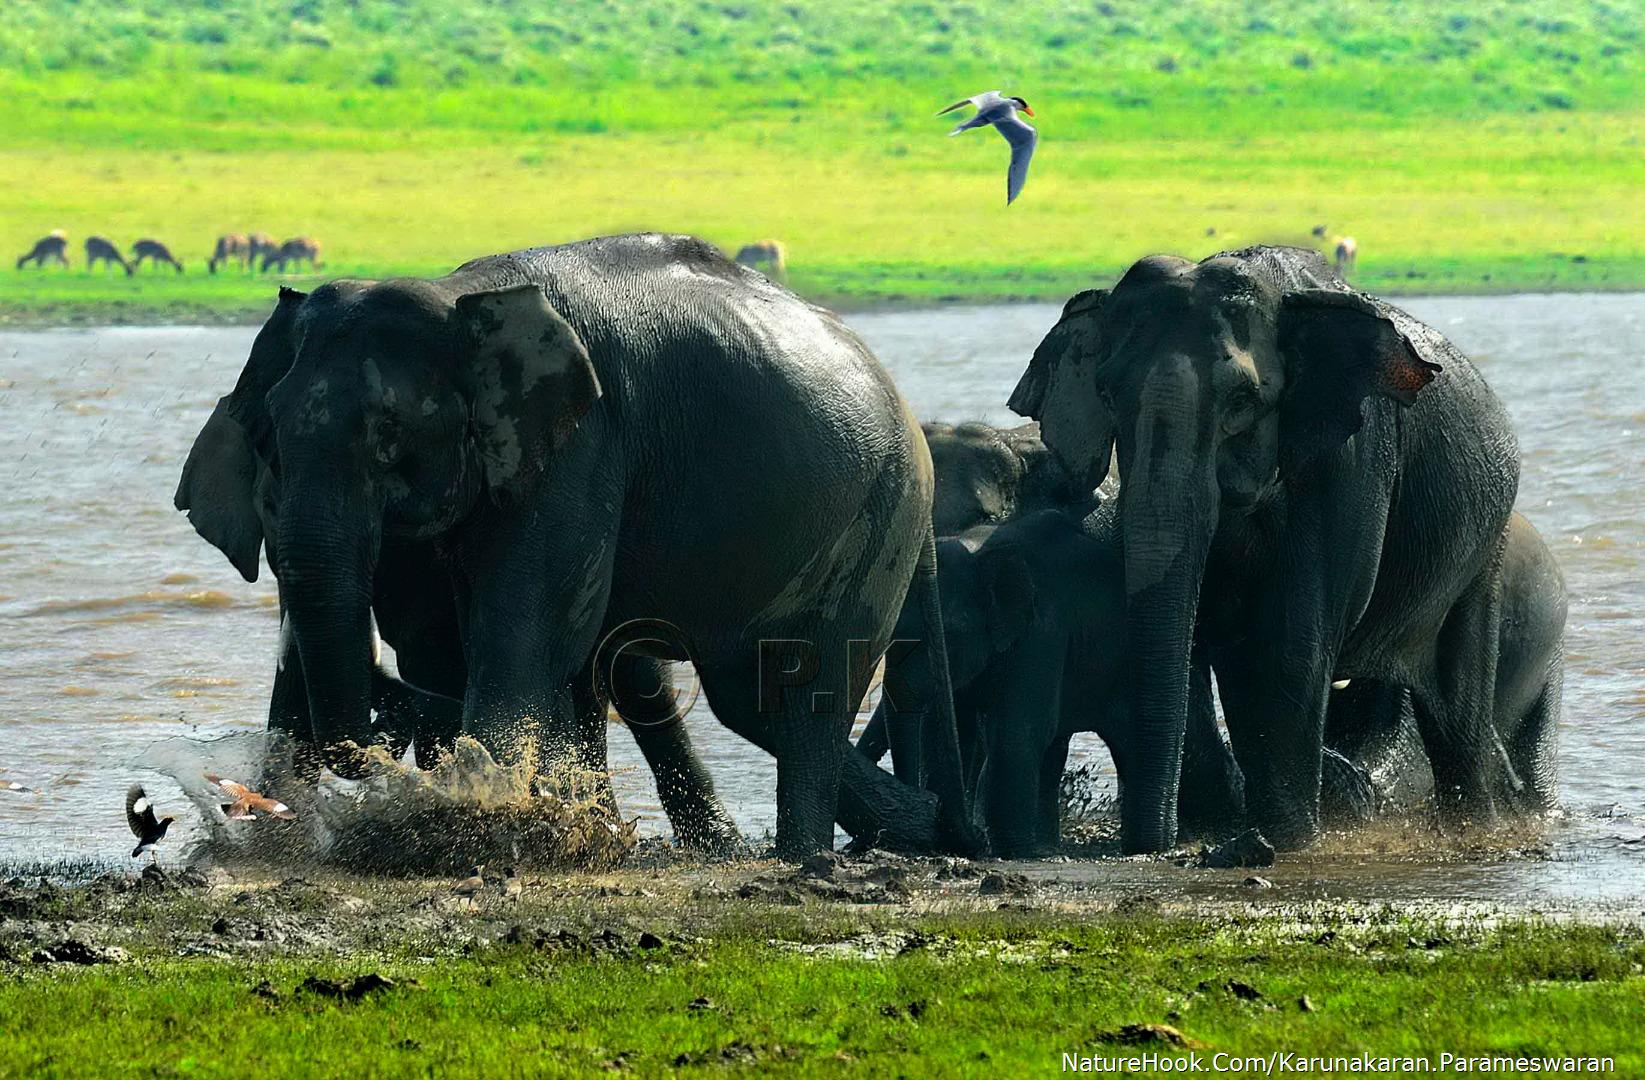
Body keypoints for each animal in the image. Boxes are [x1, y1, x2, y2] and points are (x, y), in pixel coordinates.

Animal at [173, 236, 967, 861]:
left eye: (390, 437)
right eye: (268, 438)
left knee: (798, 689)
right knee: (744, 697)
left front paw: (477, 819)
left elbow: (526, 629)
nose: (386, 712)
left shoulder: (581, 445)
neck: (460, 297)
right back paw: (908, 831)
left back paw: (806, 856)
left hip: (882, 513)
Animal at [1006, 246, 1519, 848]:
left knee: (1458, 710)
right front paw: (1213, 832)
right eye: (1106, 393)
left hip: (1485, 549)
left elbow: (1286, 649)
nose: (1149, 846)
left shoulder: (1349, 461)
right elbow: (1189, 644)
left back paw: (1477, 830)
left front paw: (1286, 844)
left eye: (1242, 400)